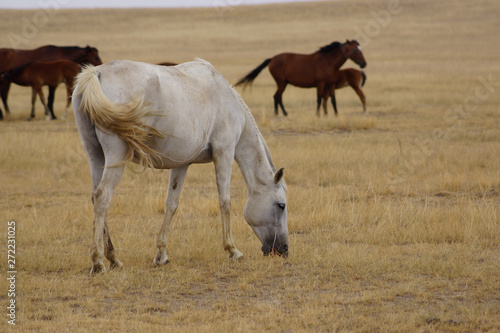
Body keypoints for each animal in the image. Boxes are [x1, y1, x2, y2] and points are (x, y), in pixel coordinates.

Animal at [72, 58, 288, 274]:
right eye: (281, 205)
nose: (284, 250)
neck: (226, 99)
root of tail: (96, 73)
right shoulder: (224, 154)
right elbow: (225, 202)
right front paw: (233, 250)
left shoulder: (181, 164)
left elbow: (171, 204)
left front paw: (161, 255)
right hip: (116, 158)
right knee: (103, 197)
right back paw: (98, 262)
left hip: (96, 157)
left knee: (95, 197)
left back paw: (114, 259)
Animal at [234, 40, 368, 116]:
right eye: (356, 51)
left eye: (360, 50)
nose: (364, 64)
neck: (328, 61)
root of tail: (272, 59)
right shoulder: (320, 84)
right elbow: (319, 99)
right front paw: (318, 115)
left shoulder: (330, 84)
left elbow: (333, 100)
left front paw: (335, 114)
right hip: (281, 82)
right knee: (277, 96)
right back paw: (283, 113)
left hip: (283, 83)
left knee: (276, 96)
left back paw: (279, 113)